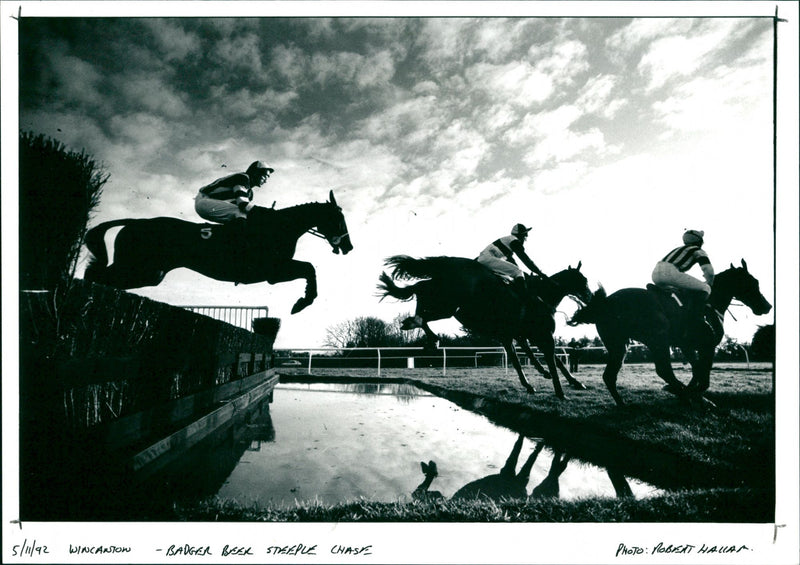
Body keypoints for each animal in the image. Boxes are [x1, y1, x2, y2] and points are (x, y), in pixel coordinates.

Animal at [83, 189, 354, 312]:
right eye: (339, 218)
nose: (349, 246)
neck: (280, 227)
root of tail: (134, 221)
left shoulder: (275, 273)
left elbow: (309, 269)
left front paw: (302, 301)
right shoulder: (273, 272)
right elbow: (309, 269)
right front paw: (302, 302)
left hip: (150, 273)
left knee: (103, 277)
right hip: (136, 267)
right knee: (96, 275)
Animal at [376, 254, 592, 396]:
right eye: (583, 280)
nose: (590, 296)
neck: (541, 296)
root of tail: (449, 261)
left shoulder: (514, 335)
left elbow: (528, 358)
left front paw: (564, 380)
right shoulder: (538, 334)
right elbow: (546, 360)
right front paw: (555, 383)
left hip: (443, 299)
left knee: (420, 290)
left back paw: (418, 328)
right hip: (449, 304)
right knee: (422, 308)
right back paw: (428, 335)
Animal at [568, 260, 768, 406]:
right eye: (753, 282)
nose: (767, 306)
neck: (711, 303)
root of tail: (605, 303)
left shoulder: (687, 346)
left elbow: (696, 370)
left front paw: (692, 394)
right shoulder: (707, 345)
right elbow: (703, 377)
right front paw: (693, 395)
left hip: (619, 344)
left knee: (609, 375)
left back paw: (624, 404)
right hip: (657, 338)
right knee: (663, 370)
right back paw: (681, 393)